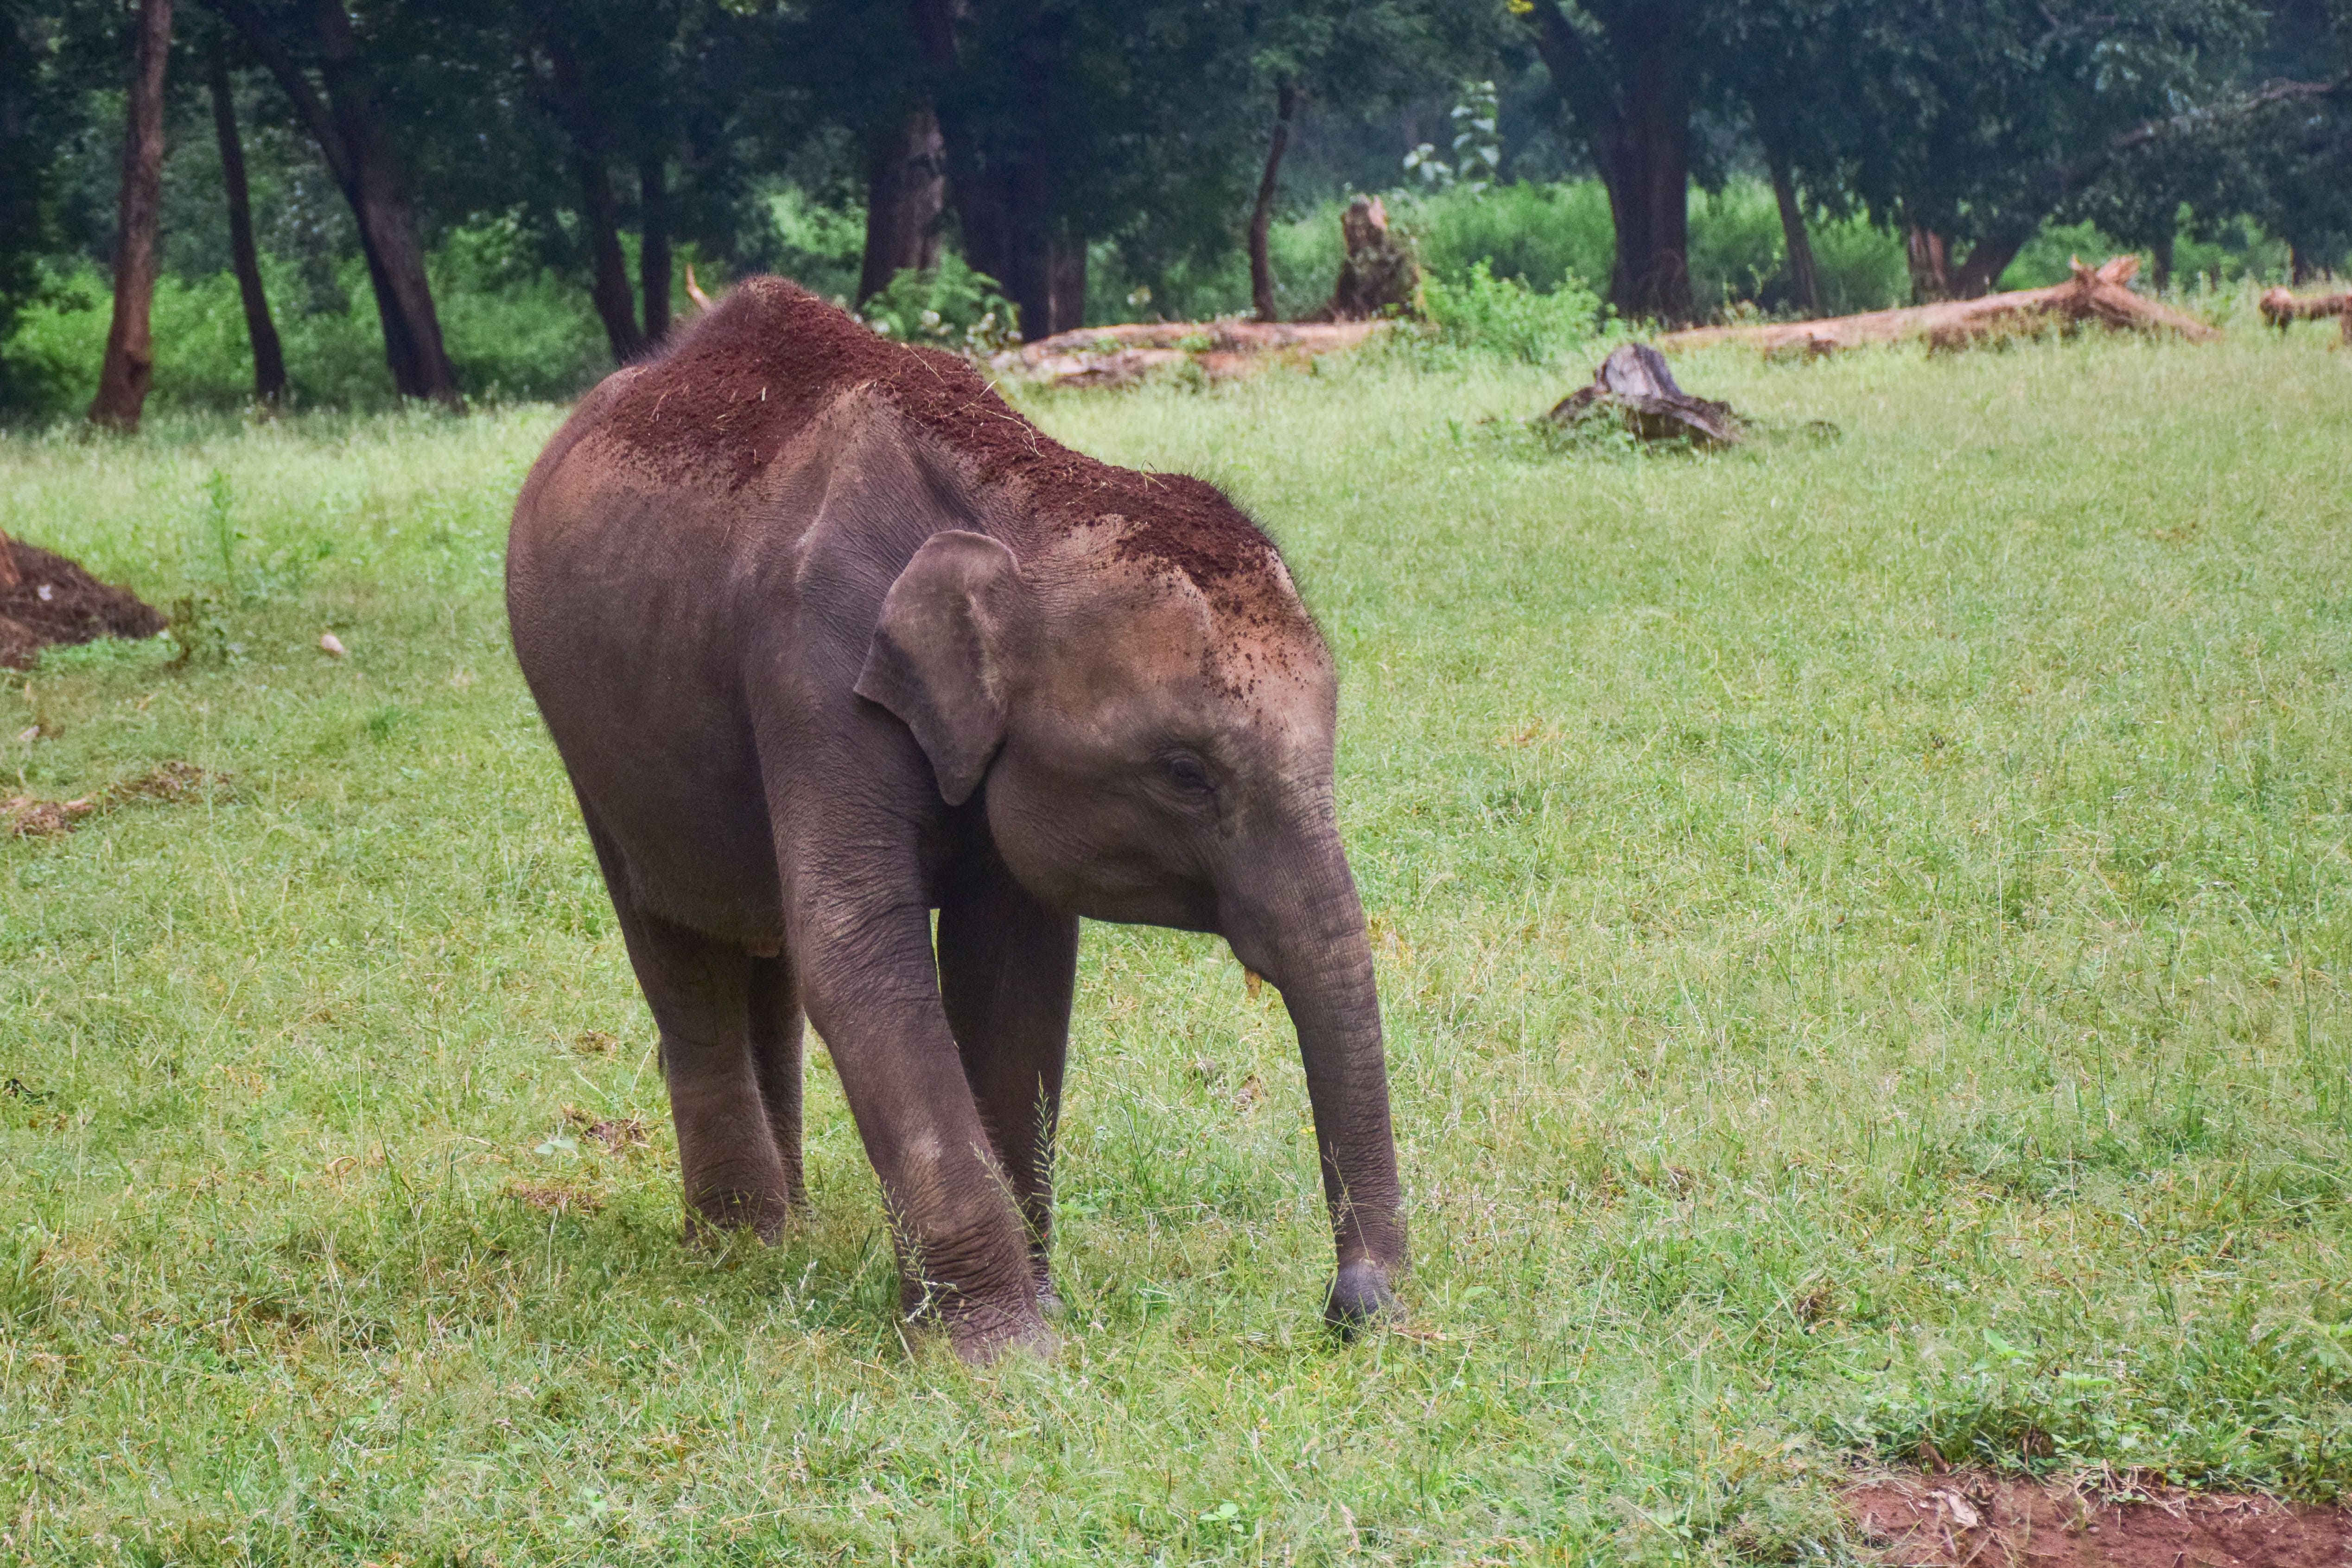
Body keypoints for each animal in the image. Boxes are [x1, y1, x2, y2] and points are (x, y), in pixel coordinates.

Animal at [506, 278, 1403, 1360]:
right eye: (1185, 773)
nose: (1354, 1304)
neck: (1024, 491)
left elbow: (1013, 971)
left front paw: (1030, 1303)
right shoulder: (814, 666)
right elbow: (855, 946)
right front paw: (1004, 1351)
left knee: (761, 950)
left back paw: (791, 1227)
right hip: (589, 740)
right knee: (679, 950)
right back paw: (743, 1245)